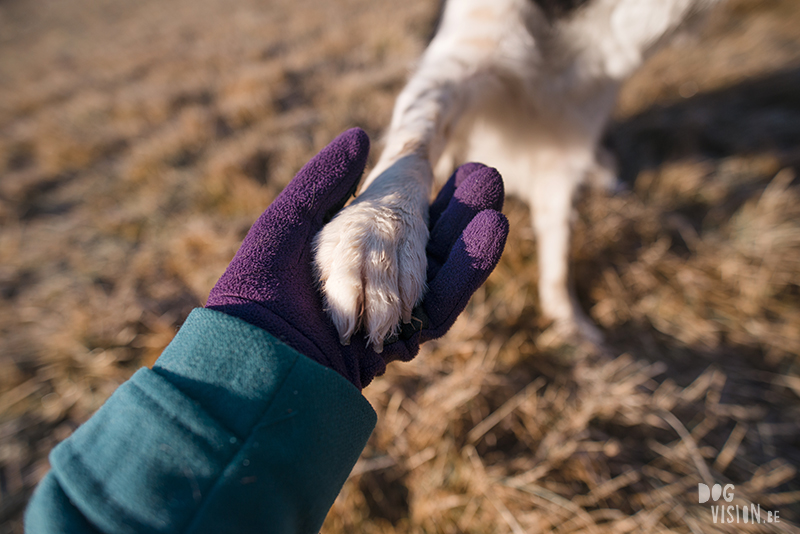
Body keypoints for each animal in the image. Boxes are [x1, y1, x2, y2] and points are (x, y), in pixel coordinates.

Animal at [312, 0, 720, 352]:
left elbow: (559, 244)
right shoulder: (463, 52)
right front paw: (379, 236)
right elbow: (418, 133)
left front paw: (568, 320)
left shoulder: (573, 134)